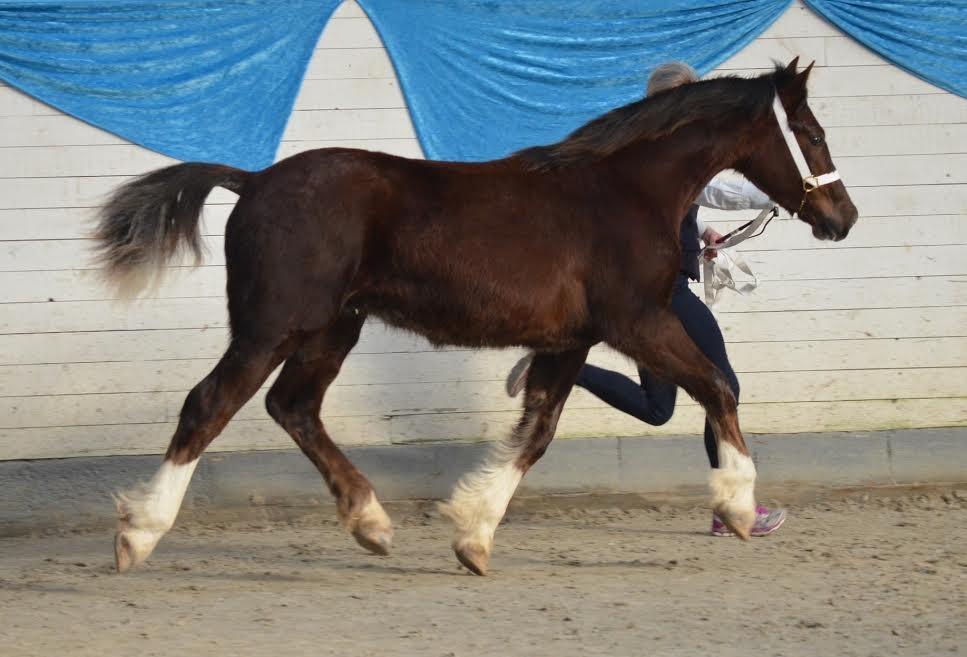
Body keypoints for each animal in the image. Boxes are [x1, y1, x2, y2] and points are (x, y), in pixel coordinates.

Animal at [94, 57, 860, 576]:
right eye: (812, 132)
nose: (842, 217)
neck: (621, 193)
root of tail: (251, 181)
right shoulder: (637, 322)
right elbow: (717, 386)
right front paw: (736, 507)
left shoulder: (571, 340)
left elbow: (536, 431)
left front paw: (472, 533)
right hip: (273, 325)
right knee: (210, 404)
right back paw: (138, 533)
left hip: (332, 327)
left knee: (294, 407)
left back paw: (371, 524)